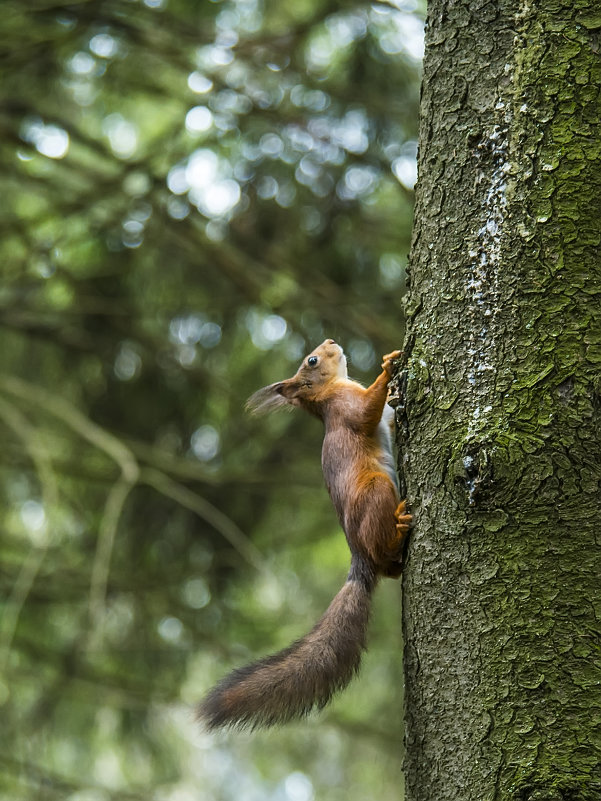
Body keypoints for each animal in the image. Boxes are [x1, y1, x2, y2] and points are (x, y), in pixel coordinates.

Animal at [198, 340, 412, 728]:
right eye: (311, 360)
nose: (330, 342)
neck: (331, 390)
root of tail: (359, 558)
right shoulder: (345, 409)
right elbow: (367, 411)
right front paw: (387, 369)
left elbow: (387, 416)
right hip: (375, 492)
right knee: (383, 550)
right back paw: (399, 529)